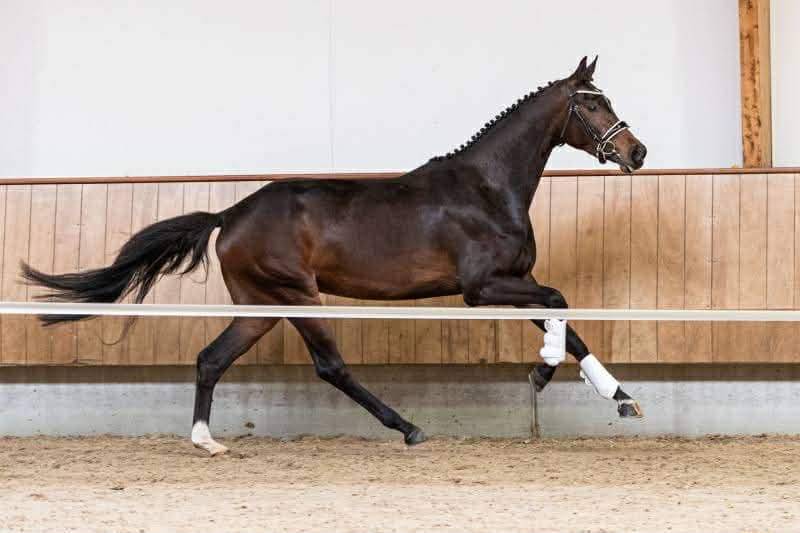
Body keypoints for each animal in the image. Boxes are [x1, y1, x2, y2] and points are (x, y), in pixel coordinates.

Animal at [22, 56, 647, 455]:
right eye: (592, 106)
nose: (637, 151)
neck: (488, 188)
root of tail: (230, 215)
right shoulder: (482, 287)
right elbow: (560, 303)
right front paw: (541, 373)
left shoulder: (514, 279)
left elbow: (569, 323)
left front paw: (622, 399)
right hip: (298, 296)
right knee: (330, 366)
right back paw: (408, 428)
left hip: (262, 306)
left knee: (211, 359)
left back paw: (206, 441)